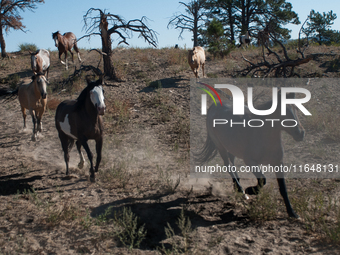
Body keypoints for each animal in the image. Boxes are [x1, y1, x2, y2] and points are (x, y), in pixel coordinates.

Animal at [197, 89, 306, 217]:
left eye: (296, 109)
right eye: (283, 112)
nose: (300, 133)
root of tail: (214, 106)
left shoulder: (278, 163)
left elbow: (283, 189)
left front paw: (292, 213)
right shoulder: (250, 161)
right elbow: (262, 180)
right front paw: (250, 190)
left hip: (232, 148)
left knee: (232, 163)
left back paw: (238, 188)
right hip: (220, 146)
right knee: (227, 165)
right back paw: (241, 190)